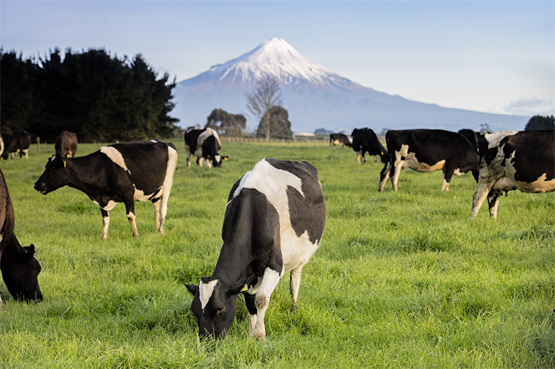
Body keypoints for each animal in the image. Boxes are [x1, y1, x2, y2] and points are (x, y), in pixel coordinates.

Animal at [34, 139, 178, 237]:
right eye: (47, 166)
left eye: (53, 168)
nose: (36, 184)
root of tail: (165, 143)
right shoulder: (102, 198)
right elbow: (105, 219)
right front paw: (104, 237)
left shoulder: (128, 193)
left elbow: (130, 216)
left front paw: (136, 235)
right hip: (155, 190)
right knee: (156, 208)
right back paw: (156, 228)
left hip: (167, 183)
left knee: (163, 208)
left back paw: (161, 231)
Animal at [186, 158, 326, 340]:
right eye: (194, 310)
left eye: (220, 308)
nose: (206, 340)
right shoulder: (247, 271)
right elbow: (250, 302)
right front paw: (251, 335)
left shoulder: (274, 264)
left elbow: (260, 299)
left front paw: (260, 336)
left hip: (301, 256)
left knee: (295, 280)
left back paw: (294, 307)